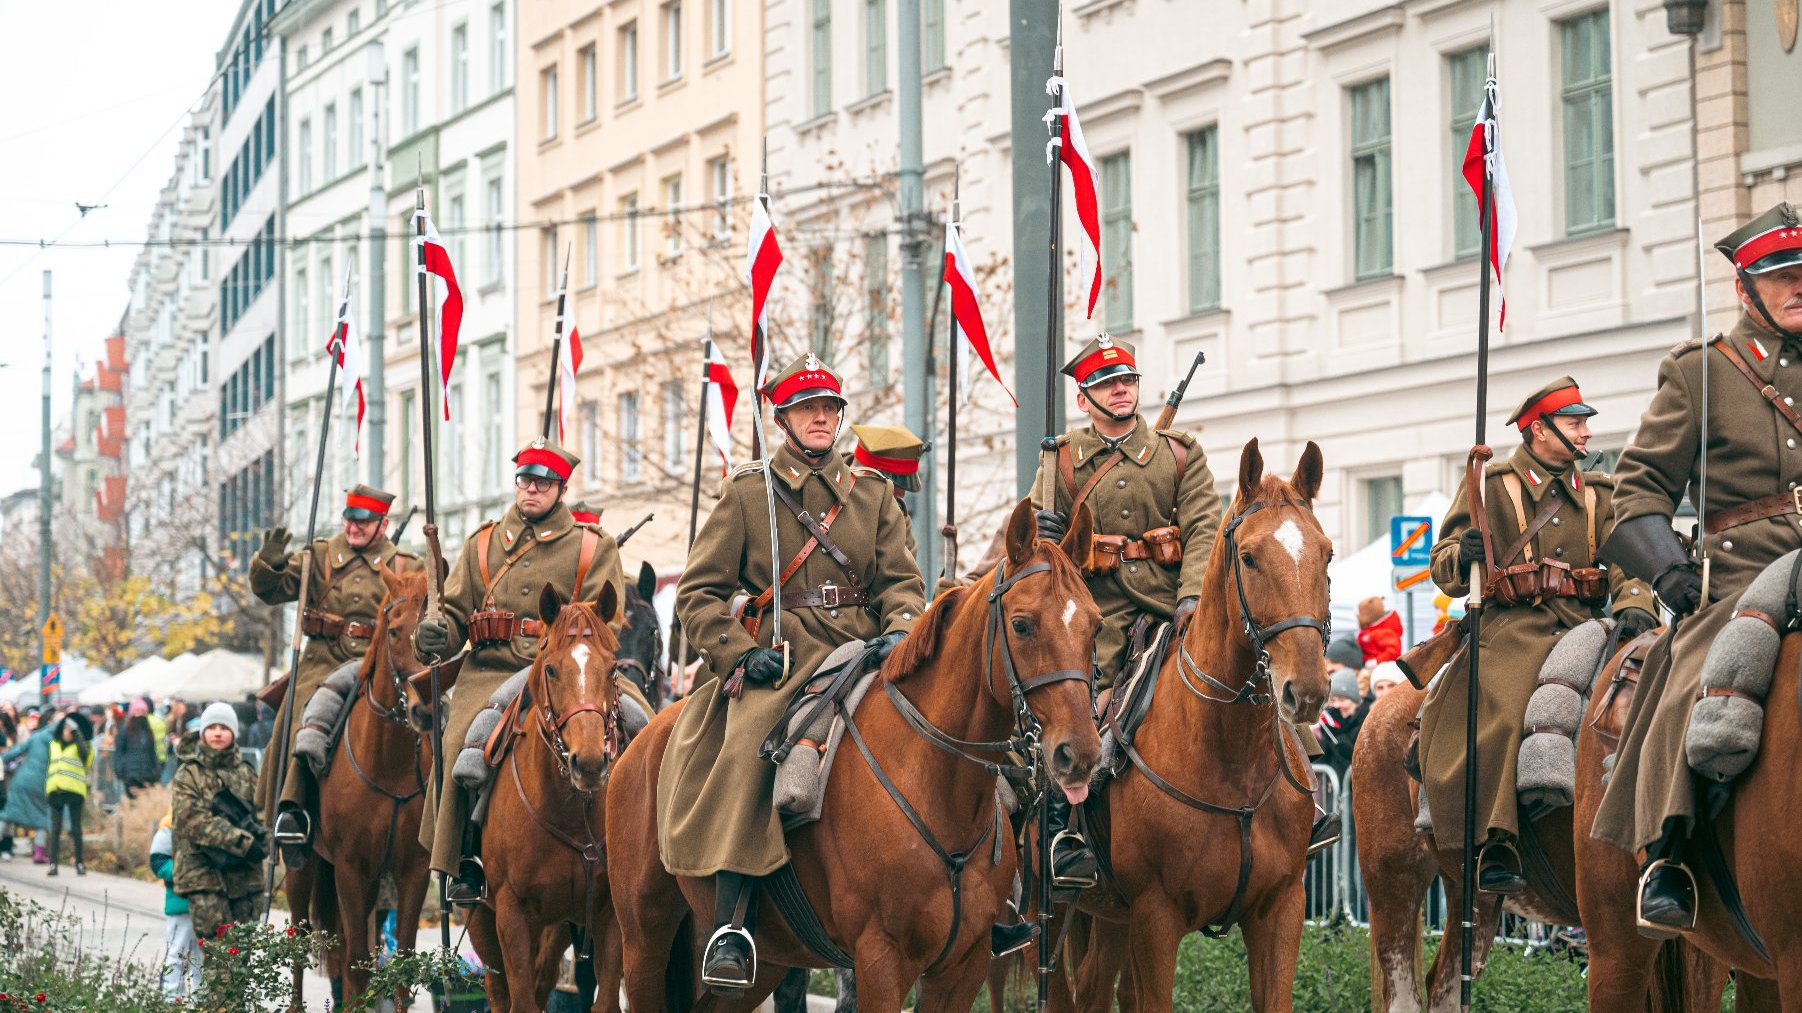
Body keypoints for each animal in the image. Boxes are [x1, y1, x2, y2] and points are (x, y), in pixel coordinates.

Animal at [468, 580, 630, 1002]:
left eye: (612, 668)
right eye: (552, 669)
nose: (588, 763)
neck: (572, 813)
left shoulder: (609, 915)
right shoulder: (511, 913)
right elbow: (519, 995)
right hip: (481, 917)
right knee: (497, 987)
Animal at [612, 497, 1102, 1009]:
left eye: (1095, 624)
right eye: (1022, 624)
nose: (1080, 753)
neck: (934, 782)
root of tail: (646, 735)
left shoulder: (962, 969)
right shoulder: (879, 962)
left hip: (765, 963)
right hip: (643, 945)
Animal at [1052, 439, 1340, 1009]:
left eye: (1326, 553)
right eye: (1249, 557)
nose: (1307, 690)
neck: (1231, 757)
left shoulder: (1281, 911)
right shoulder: (1155, 919)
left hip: (1110, 921)